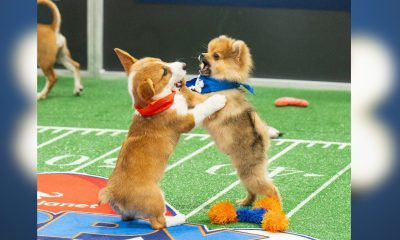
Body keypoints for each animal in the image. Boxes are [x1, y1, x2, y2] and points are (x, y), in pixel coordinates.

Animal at [99, 48, 227, 229]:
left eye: (161, 60)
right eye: (164, 72)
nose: (184, 65)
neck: (154, 103)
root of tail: (112, 193)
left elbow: (185, 94)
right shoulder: (186, 120)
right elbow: (201, 109)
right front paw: (217, 99)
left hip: (130, 211)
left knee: (129, 218)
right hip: (157, 198)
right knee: (158, 222)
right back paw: (178, 218)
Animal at [181, 35, 282, 206]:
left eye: (216, 56)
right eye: (207, 50)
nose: (202, 54)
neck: (219, 84)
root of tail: (262, 143)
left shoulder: (209, 101)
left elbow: (194, 95)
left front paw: (182, 85)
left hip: (250, 173)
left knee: (271, 189)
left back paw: (275, 206)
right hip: (243, 173)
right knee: (252, 192)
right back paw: (245, 202)